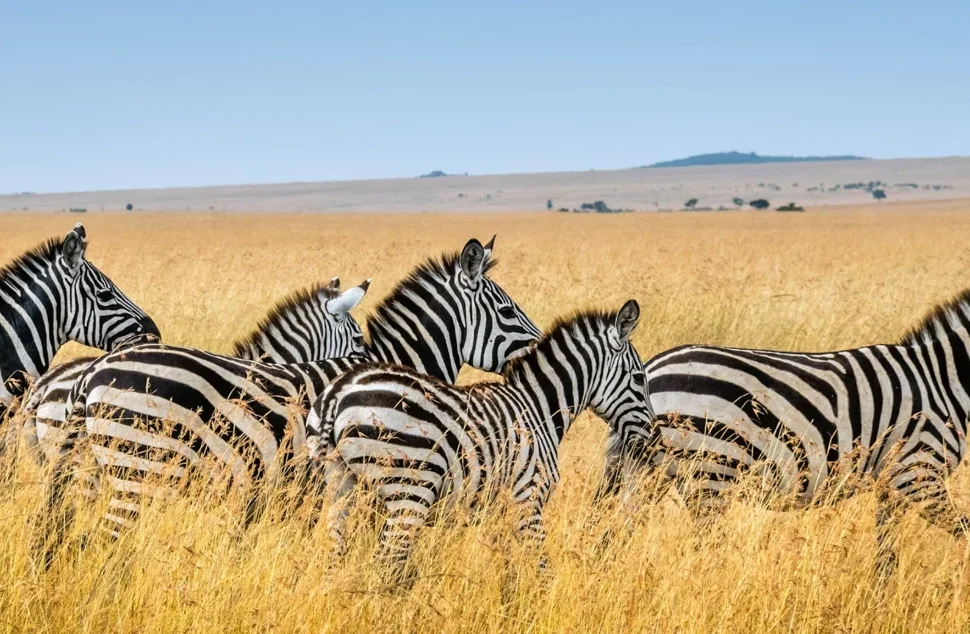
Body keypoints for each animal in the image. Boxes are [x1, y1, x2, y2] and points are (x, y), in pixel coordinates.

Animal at [306, 300, 650, 580]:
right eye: (639, 378)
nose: (649, 436)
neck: (539, 408)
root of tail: (340, 392)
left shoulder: (498, 507)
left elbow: (508, 567)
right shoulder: (529, 497)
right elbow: (541, 566)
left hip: (340, 484)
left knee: (335, 557)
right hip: (409, 490)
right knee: (386, 563)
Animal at [599, 288, 970, 571]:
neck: (941, 381)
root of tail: (651, 369)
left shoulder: (892, 484)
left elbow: (886, 556)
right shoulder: (918, 475)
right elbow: (964, 532)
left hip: (647, 472)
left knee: (615, 534)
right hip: (710, 474)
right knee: (705, 551)